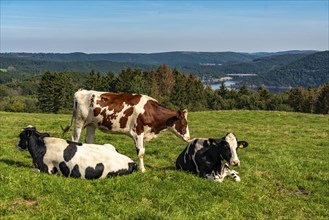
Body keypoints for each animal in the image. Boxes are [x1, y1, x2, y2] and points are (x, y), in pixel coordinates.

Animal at [62, 89, 190, 172]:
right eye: (184, 123)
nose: (189, 138)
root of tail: (81, 91)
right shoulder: (138, 132)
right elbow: (140, 152)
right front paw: (142, 170)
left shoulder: (144, 134)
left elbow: (142, 151)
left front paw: (140, 167)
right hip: (80, 121)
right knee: (75, 139)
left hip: (91, 124)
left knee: (89, 140)